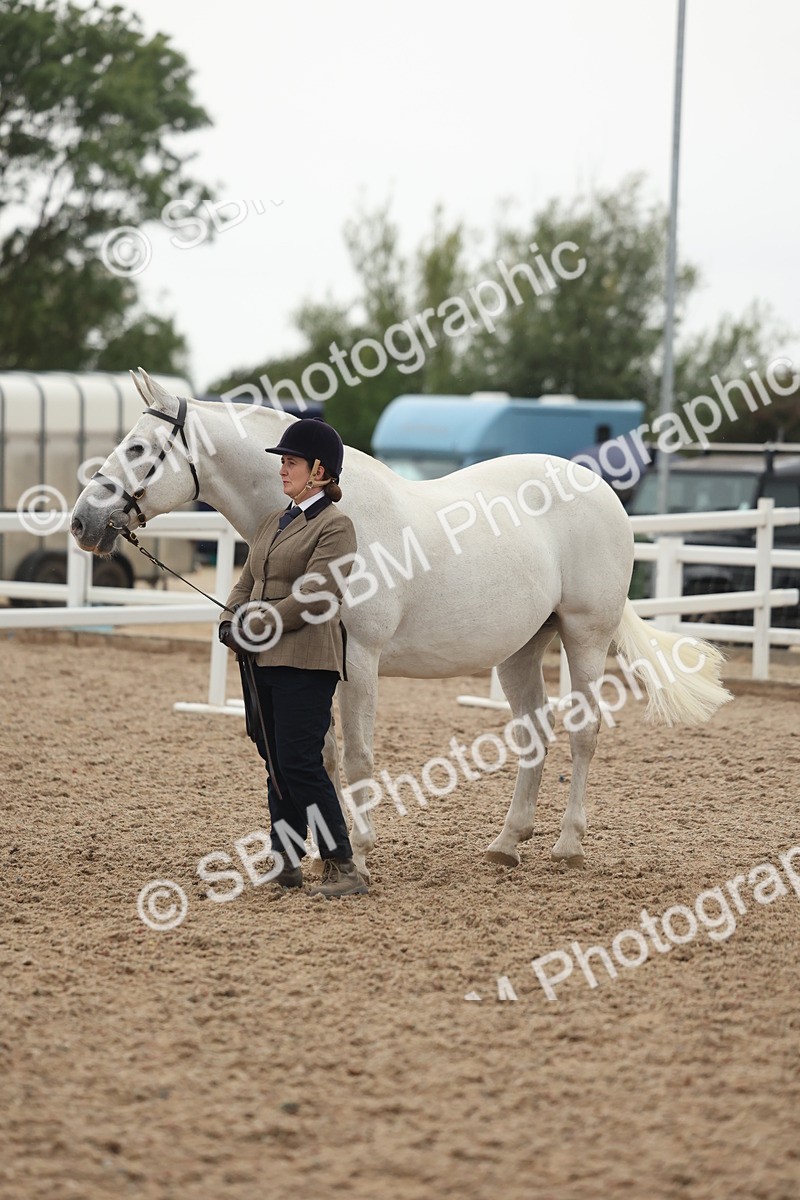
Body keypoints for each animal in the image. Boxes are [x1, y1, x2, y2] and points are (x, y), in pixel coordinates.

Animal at [70, 370, 732, 879]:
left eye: (137, 449)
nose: (81, 523)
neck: (332, 512)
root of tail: (601, 490)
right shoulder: (320, 667)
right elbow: (325, 753)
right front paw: (325, 854)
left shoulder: (359, 658)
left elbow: (359, 756)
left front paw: (359, 856)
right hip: (521, 649)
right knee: (534, 737)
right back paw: (506, 844)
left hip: (584, 636)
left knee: (583, 733)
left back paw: (567, 845)